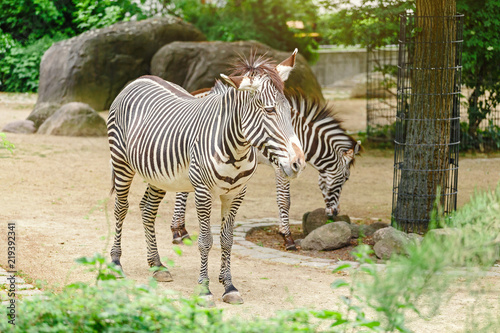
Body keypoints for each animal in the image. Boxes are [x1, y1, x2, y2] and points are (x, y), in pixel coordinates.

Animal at [107, 50, 306, 304]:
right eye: (269, 110)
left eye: (289, 111)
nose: (298, 163)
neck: (236, 150)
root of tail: (138, 79)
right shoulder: (203, 191)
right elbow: (205, 241)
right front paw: (204, 288)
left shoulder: (236, 194)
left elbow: (227, 240)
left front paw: (229, 286)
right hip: (121, 162)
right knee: (121, 208)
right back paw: (115, 262)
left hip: (158, 174)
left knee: (147, 209)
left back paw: (157, 265)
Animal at [171, 88, 360, 249]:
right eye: (346, 178)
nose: (335, 213)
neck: (300, 135)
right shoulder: (281, 166)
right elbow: (285, 200)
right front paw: (287, 237)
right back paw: (177, 231)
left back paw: (180, 230)